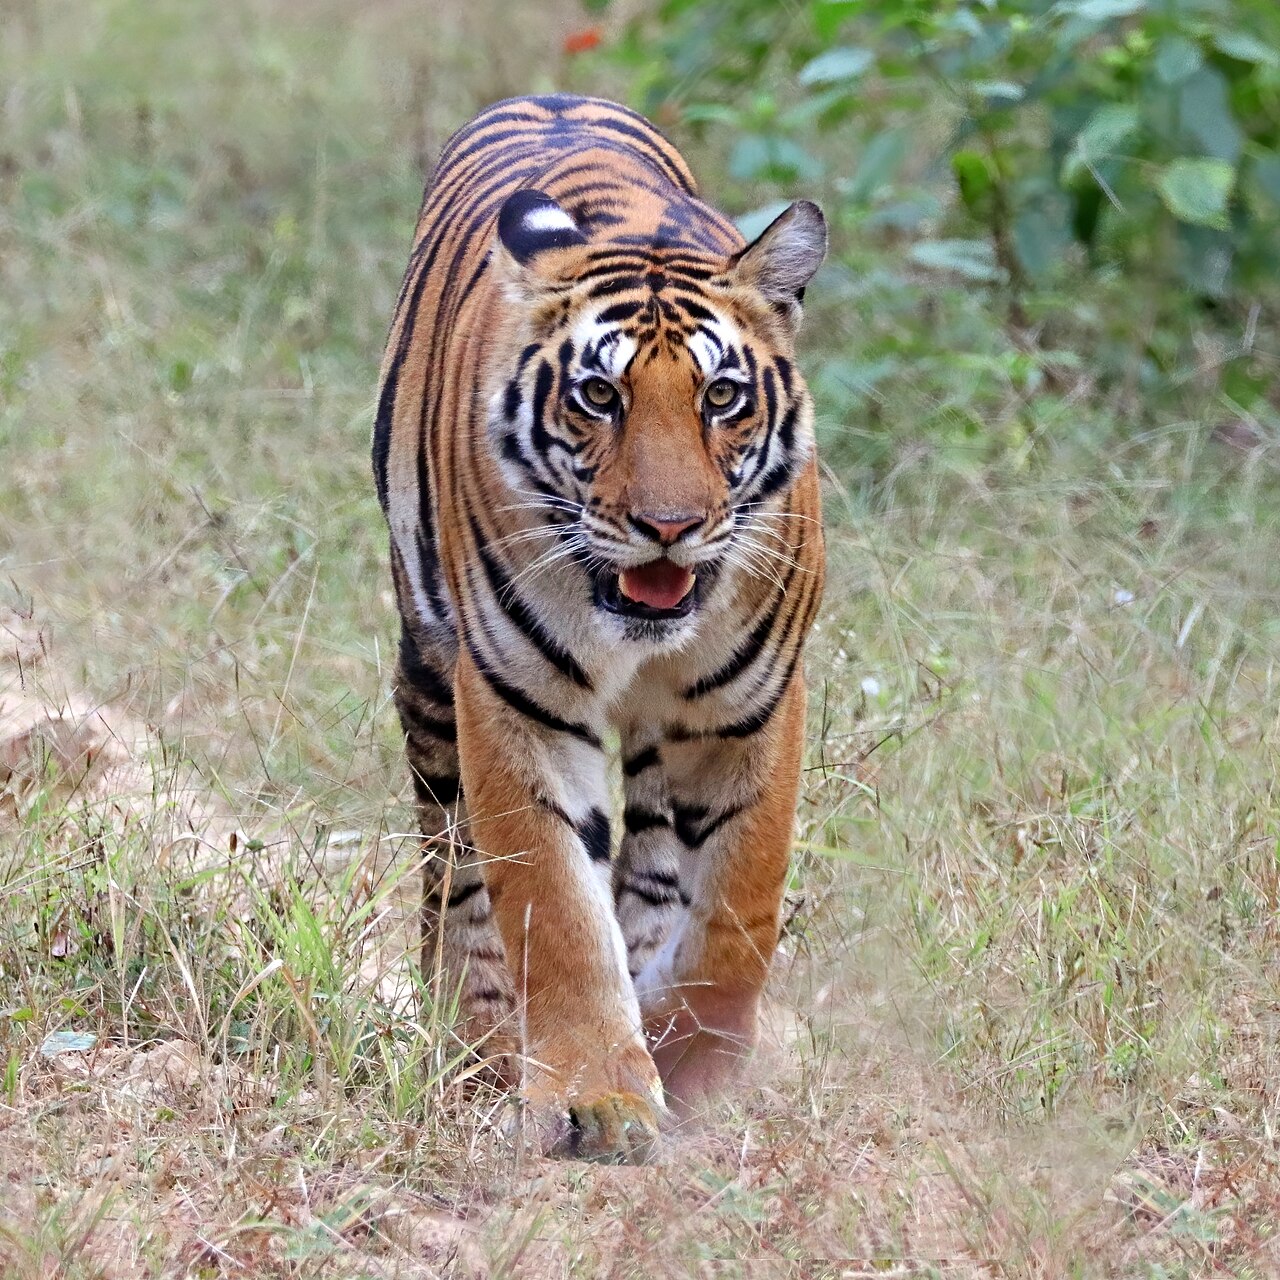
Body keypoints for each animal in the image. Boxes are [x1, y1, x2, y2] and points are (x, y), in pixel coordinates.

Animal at [372, 93, 826, 1163]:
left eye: (721, 396)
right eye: (598, 395)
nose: (669, 525)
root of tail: (548, 97)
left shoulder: (750, 708)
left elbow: (739, 905)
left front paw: (692, 1061)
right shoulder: (518, 701)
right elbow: (554, 903)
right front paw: (599, 1099)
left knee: (657, 861)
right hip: (429, 674)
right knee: (453, 868)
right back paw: (480, 1035)